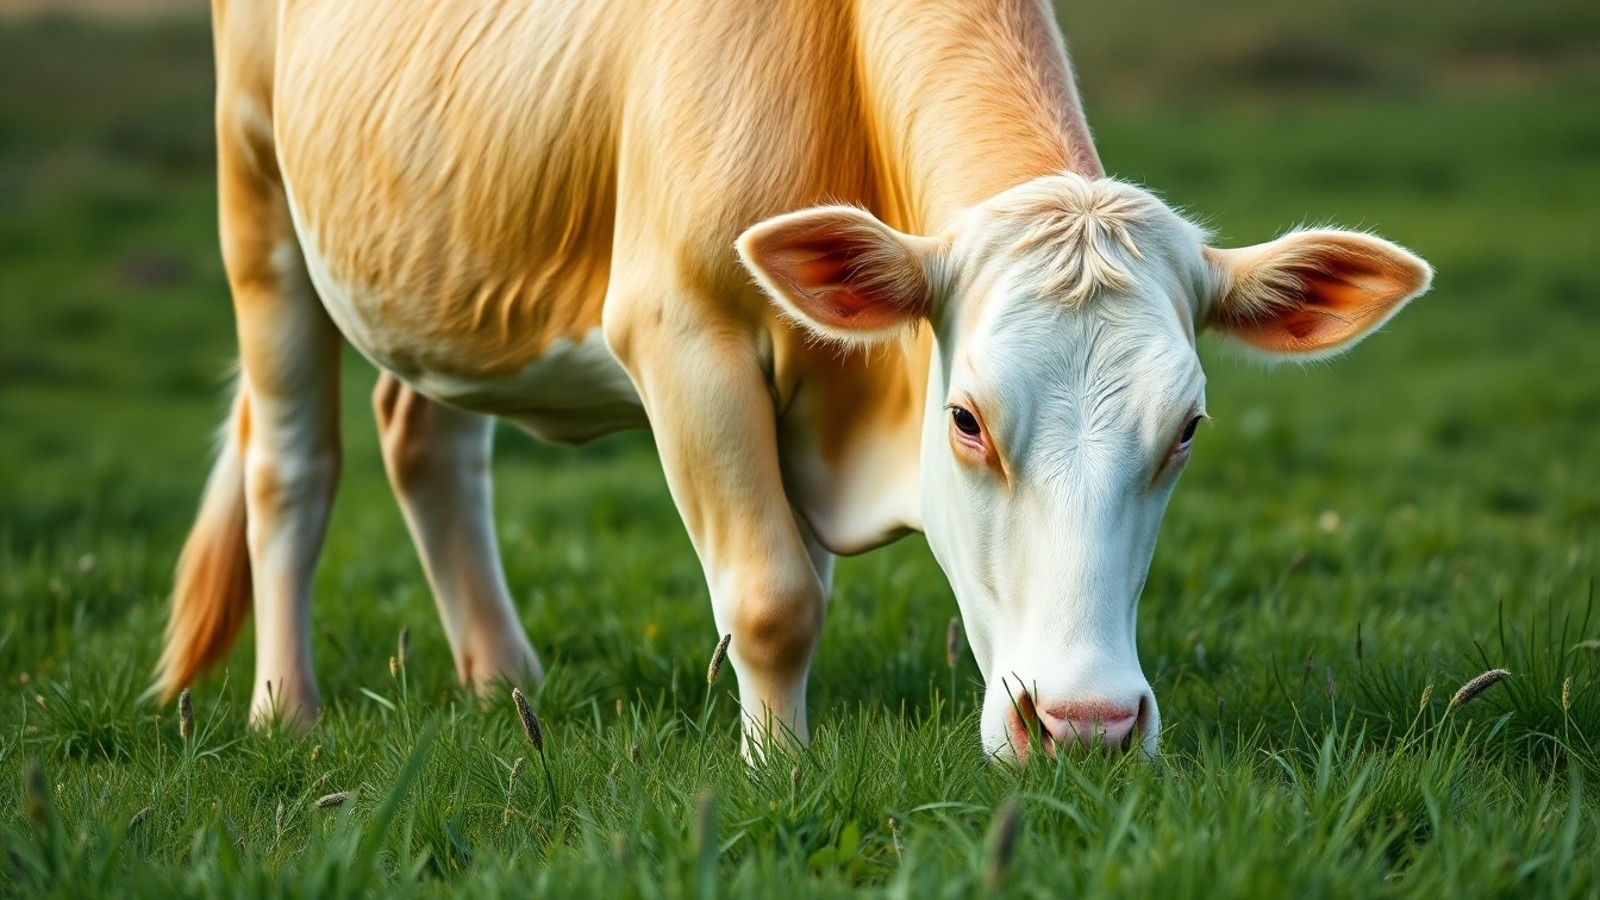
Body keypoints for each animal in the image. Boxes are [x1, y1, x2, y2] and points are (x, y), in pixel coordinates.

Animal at [156, 0, 1431, 763]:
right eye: (967, 420)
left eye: (1185, 431)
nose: (1084, 726)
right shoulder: (683, 328)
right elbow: (772, 595)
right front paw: (778, 769)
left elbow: (793, 574)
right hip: (255, 187)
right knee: (291, 468)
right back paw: (284, 712)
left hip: (448, 262)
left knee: (424, 437)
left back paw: (503, 683)